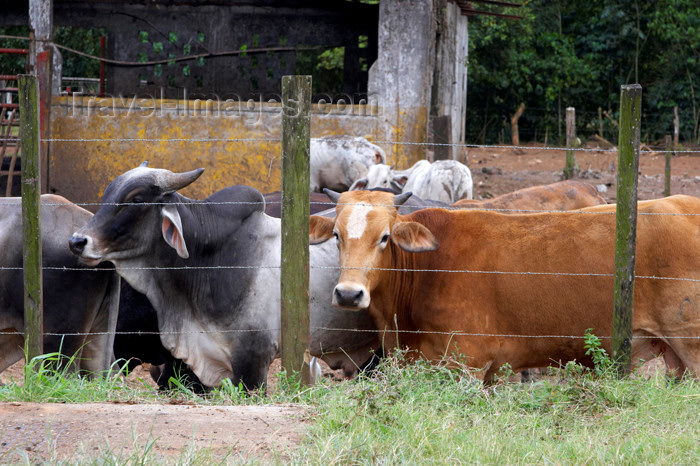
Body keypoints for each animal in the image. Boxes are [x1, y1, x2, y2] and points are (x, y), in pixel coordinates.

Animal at [312, 190, 700, 382]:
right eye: (337, 235)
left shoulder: (467, 365)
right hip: (675, 358)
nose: (348, 294)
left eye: (385, 237)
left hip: (691, 346)